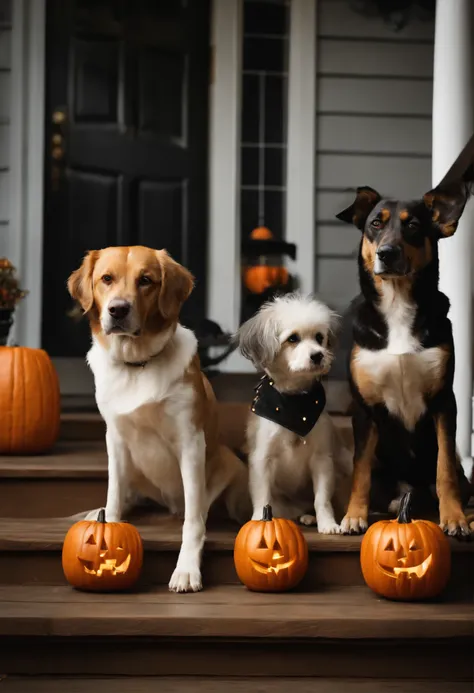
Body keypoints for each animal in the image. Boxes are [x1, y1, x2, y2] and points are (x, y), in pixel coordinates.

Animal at [237, 294, 352, 532]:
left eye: (319, 337)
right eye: (293, 339)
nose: (318, 356)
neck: (294, 403)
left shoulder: (322, 459)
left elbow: (322, 499)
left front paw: (328, 523)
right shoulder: (262, 459)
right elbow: (263, 499)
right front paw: (258, 521)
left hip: (345, 463)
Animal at [336, 177, 472, 536]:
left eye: (412, 225)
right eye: (375, 224)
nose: (387, 253)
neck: (397, 303)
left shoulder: (444, 401)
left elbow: (444, 469)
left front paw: (453, 518)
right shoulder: (364, 408)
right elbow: (360, 470)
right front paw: (353, 516)